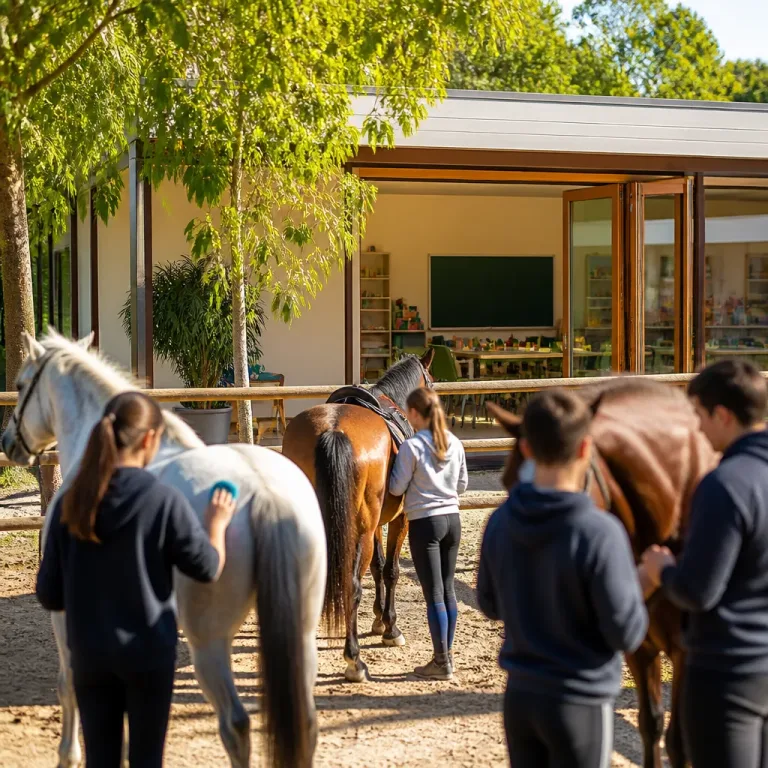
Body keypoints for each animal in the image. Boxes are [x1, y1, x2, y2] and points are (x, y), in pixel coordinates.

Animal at [1, 331, 327, 768]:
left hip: (209, 642)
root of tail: (265, 493)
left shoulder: (64, 611)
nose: (8, 443)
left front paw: (68, 755)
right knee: (305, 724)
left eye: (21, 385)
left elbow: (67, 683)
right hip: (301, 631)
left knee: (236, 724)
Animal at [281, 351, 435, 683]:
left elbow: (377, 567)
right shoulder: (399, 518)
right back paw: (354, 660)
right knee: (351, 585)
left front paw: (378, 619)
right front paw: (390, 627)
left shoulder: (375, 523)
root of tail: (334, 430)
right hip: (358, 530)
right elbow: (390, 570)